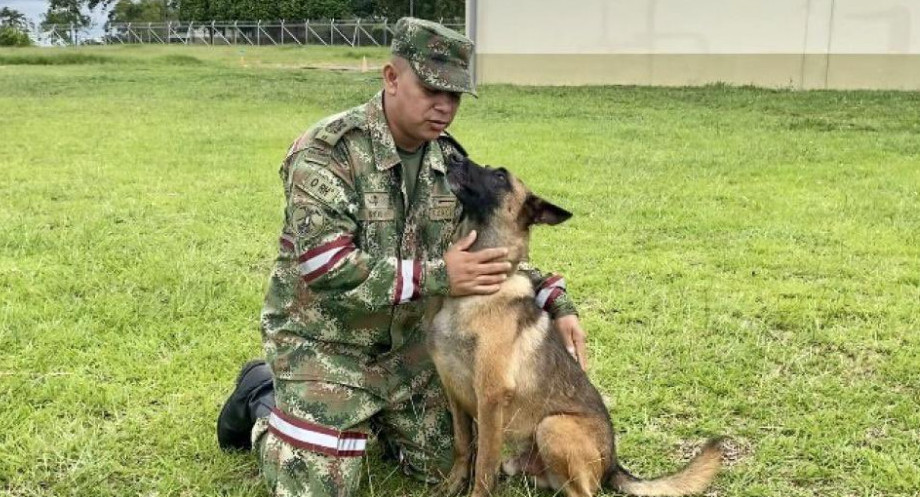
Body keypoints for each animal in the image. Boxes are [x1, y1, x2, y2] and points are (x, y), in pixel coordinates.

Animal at [428, 156, 724, 496]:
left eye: (500, 176)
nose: (452, 157)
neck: (471, 294)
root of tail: (612, 463)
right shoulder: (454, 393)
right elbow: (463, 448)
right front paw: (450, 486)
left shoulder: (490, 399)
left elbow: (484, 467)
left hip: (553, 425)